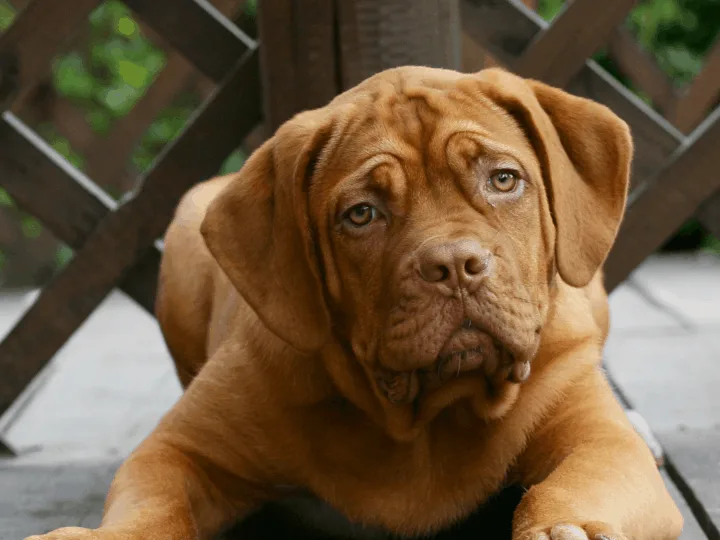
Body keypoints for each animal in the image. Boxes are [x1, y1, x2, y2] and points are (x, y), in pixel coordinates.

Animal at [26, 67, 680, 540]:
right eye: (362, 214)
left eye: (503, 179)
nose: (455, 267)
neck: (428, 414)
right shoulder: (178, 450)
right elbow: (152, 508)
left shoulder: (598, 443)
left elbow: (570, 485)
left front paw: (567, 527)